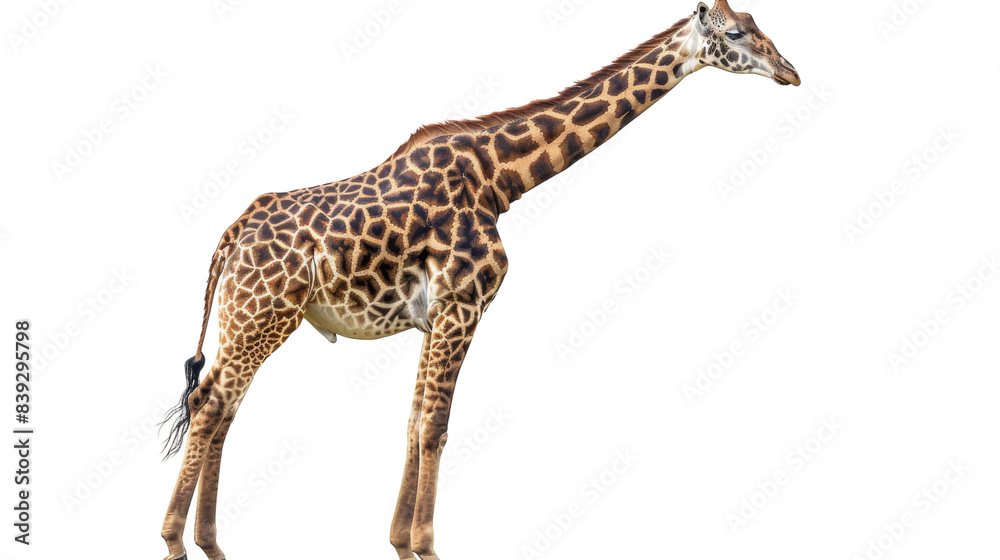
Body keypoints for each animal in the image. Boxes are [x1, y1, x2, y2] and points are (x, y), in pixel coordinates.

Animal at [159, 2, 798, 558]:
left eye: (757, 23)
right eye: (736, 33)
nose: (791, 72)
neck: (501, 178)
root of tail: (230, 235)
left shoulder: (435, 316)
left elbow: (415, 419)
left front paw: (400, 543)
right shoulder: (464, 303)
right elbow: (437, 424)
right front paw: (426, 546)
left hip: (252, 317)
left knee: (221, 405)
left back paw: (211, 544)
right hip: (260, 314)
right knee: (211, 404)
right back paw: (174, 542)